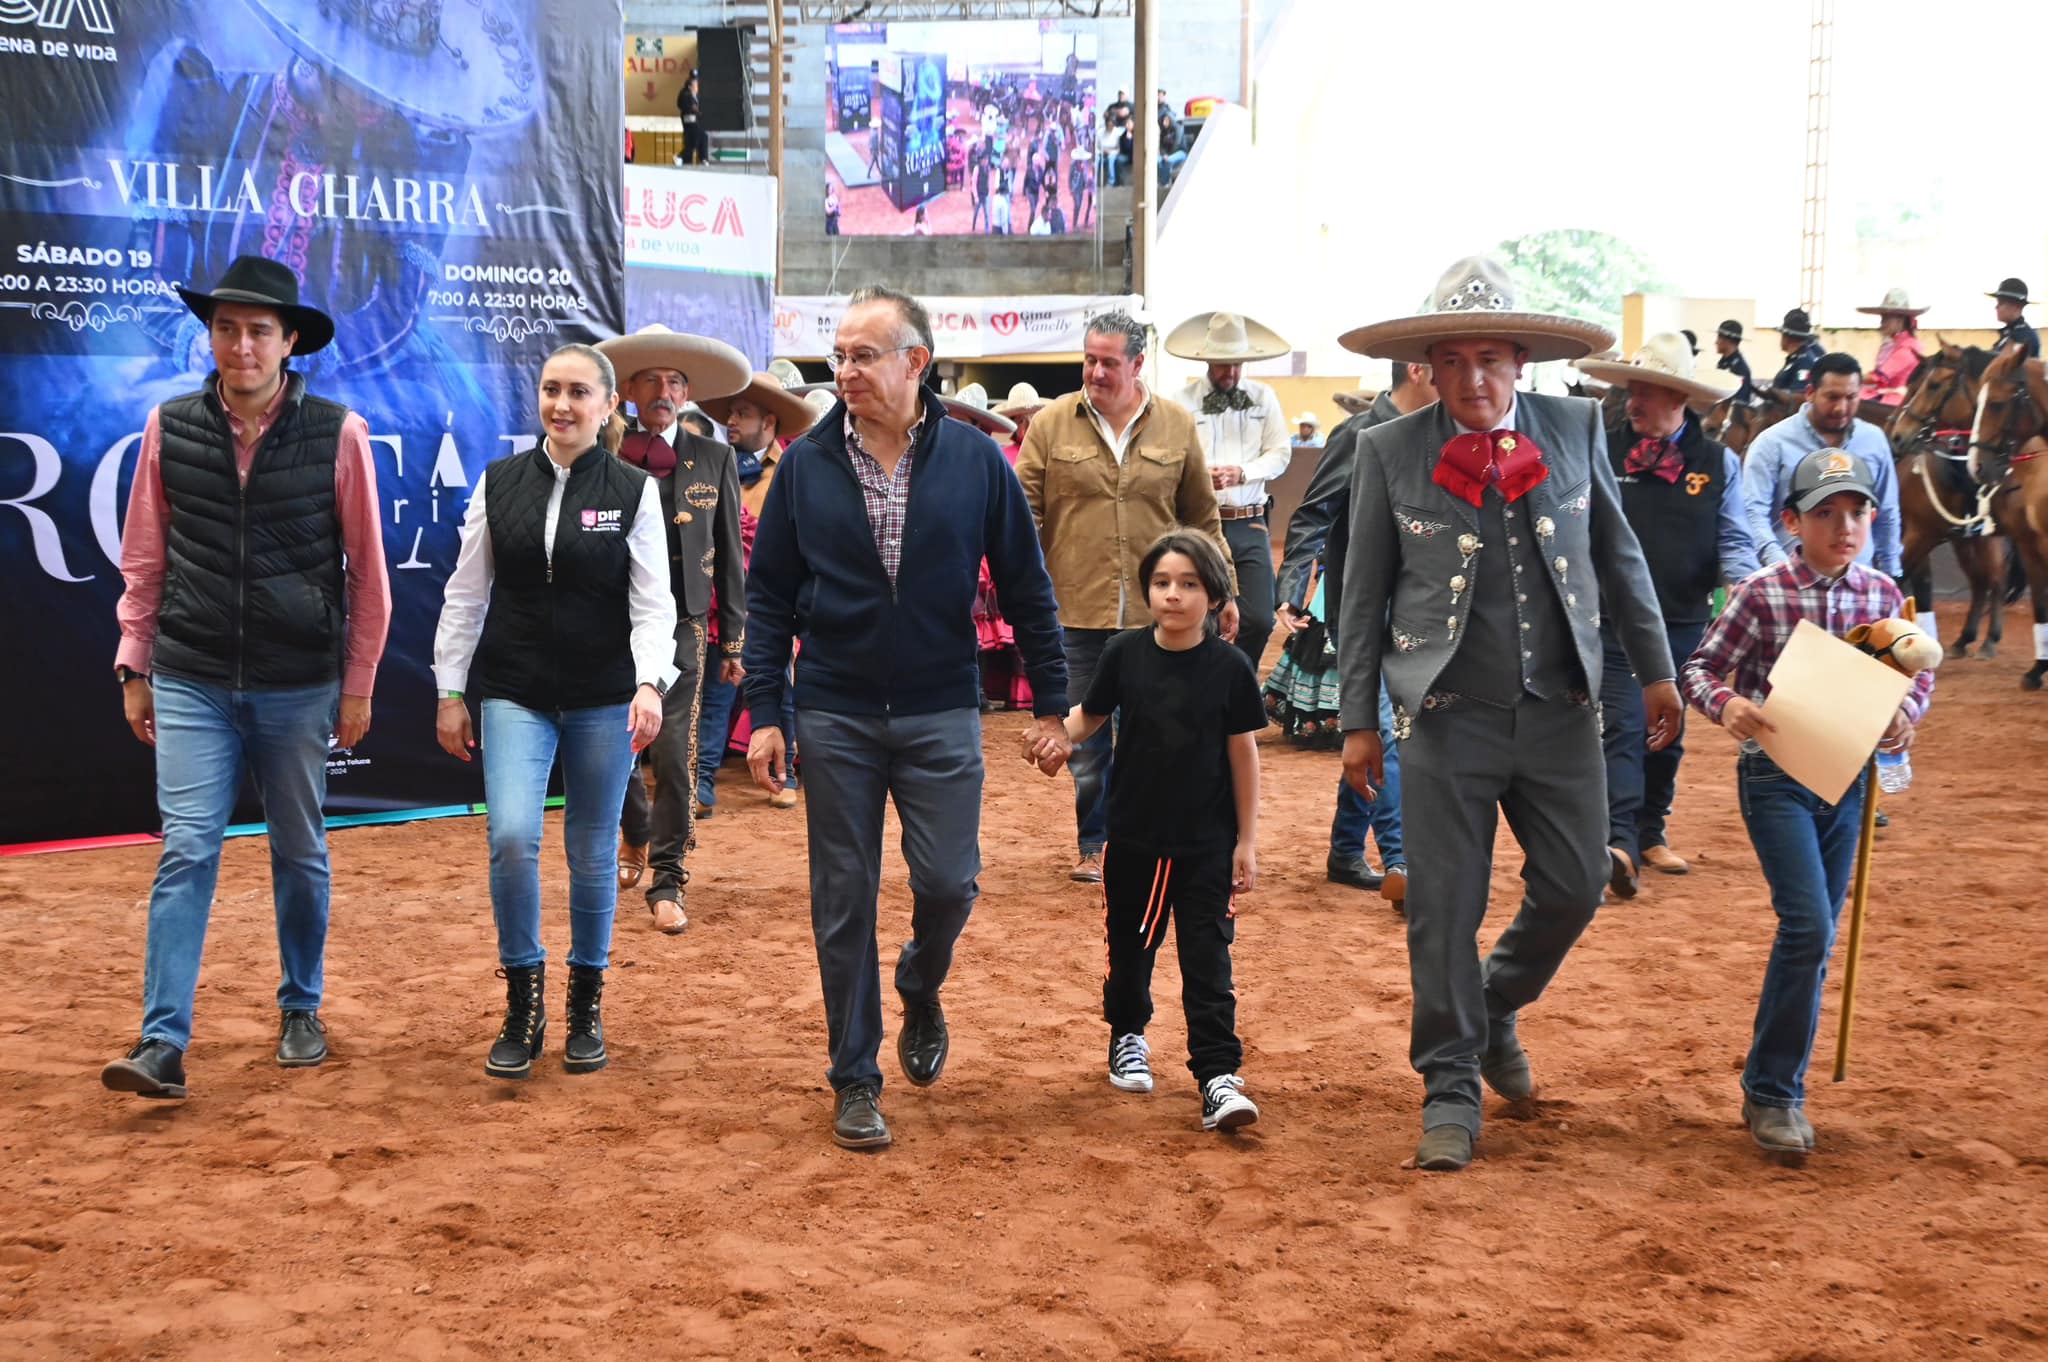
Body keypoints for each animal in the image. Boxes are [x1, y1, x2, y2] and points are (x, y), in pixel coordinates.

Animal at [1884, 342, 1998, 655]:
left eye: (1931, 385)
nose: (1895, 434)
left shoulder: (1921, 533)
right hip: (1968, 540)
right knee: (1983, 579)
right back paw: (1966, 638)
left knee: (1995, 577)